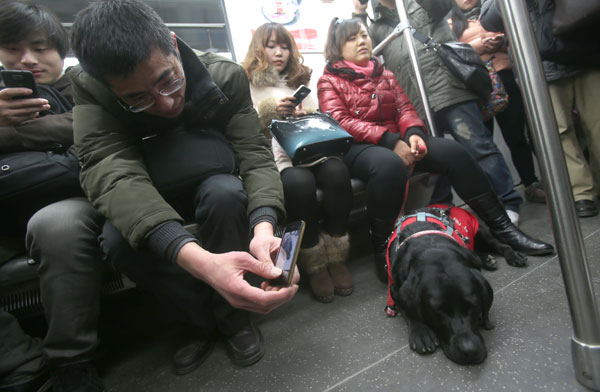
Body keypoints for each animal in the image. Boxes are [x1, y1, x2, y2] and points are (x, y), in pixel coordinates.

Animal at [386, 205, 528, 364]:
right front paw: (421, 332)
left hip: (480, 231)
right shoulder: (394, 287)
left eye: (473, 306)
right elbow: (406, 308)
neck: (431, 249)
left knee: (499, 244)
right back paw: (486, 258)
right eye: (438, 312)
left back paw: (513, 255)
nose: (470, 350)